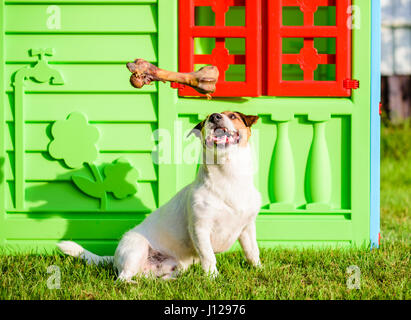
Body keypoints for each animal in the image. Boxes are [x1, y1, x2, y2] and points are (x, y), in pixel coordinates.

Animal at [58, 111, 262, 282]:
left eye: (233, 115)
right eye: (205, 121)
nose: (214, 116)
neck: (229, 177)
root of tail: (114, 257)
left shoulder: (247, 228)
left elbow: (253, 252)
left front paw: (259, 269)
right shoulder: (200, 229)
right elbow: (208, 257)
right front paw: (213, 278)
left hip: (177, 265)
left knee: (153, 277)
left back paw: (168, 282)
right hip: (136, 249)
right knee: (123, 278)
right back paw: (131, 285)